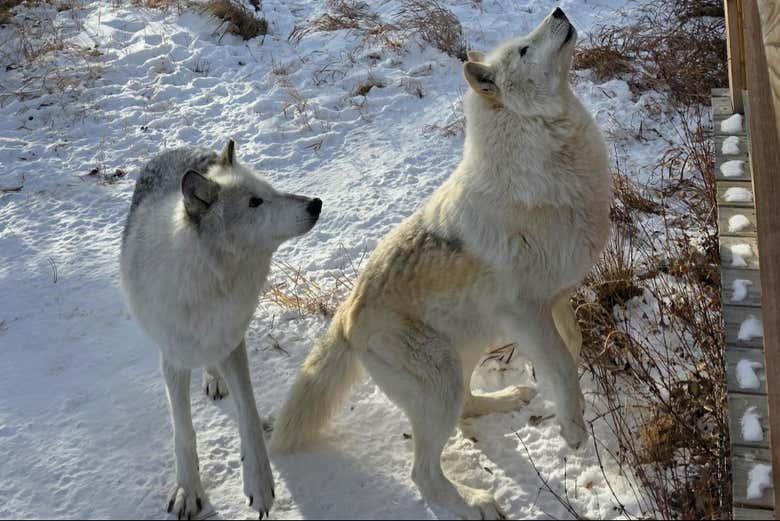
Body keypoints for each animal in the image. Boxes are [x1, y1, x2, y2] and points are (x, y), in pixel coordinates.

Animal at [120, 140, 322, 519]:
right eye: (255, 202)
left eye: (271, 191)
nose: (315, 203)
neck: (208, 282)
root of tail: (178, 149)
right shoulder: (173, 360)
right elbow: (183, 432)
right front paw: (188, 491)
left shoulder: (231, 342)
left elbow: (250, 417)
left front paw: (259, 484)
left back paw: (215, 379)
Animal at [271, 8, 611, 520]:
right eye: (524, 49)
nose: (557, 12)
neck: (543, 163)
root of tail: (346, 313)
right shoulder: (524, 310)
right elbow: (563, 368)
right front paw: (573, 431)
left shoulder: (556, 297)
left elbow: (571, 348)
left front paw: (566, 402)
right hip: (442, 382)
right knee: (423, 476)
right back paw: (475, 504)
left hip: (464, 354)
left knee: (469, 406)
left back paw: (510, 397)